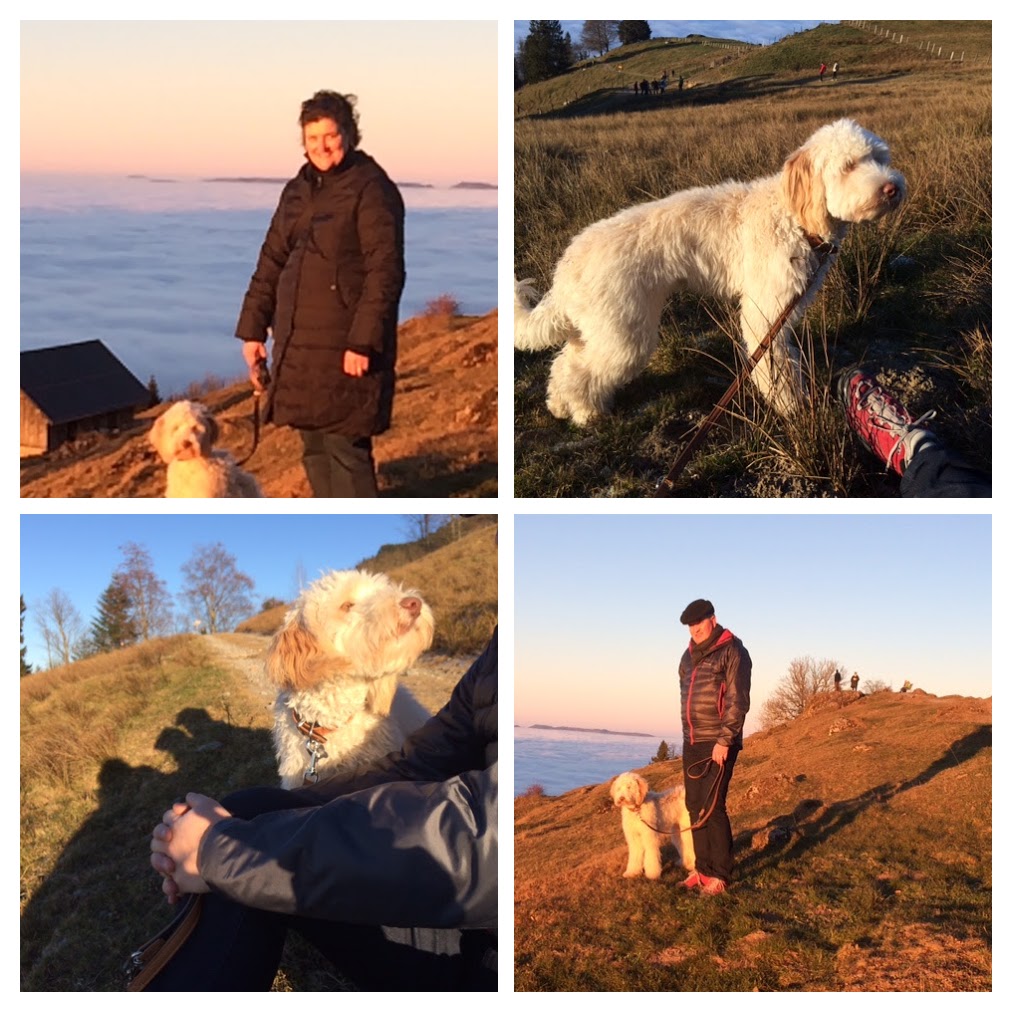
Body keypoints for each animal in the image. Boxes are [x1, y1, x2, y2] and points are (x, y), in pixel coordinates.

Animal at [518, 118, 906, 423]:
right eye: (848, 166)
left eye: (879, 157)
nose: (893, 188)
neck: (794, 216)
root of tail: (568, 264)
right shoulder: (764, 315)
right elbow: (776, 368)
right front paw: (791, 406)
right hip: (624, 334)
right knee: (581, 371)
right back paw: (585, 412)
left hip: (599, 328)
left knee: (565, 364)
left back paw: (560, 405)